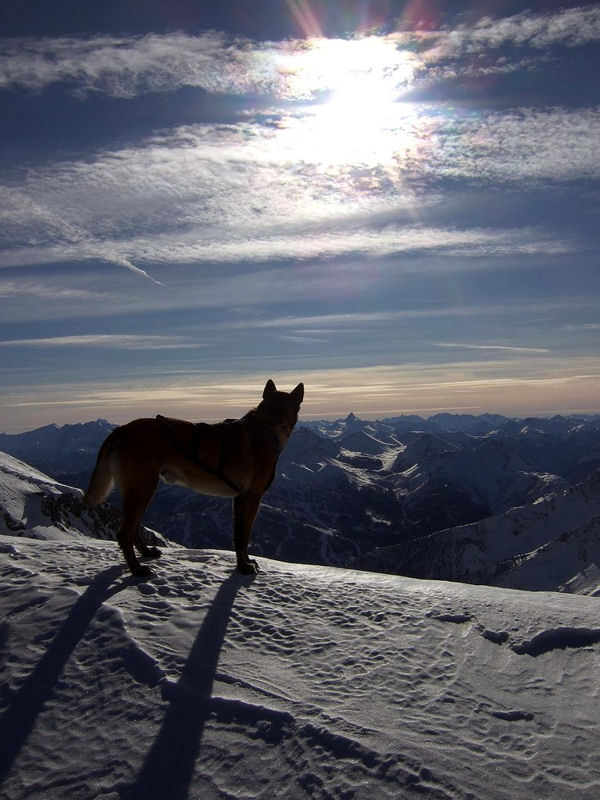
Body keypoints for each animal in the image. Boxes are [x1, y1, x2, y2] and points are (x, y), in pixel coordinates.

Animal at [82, 380, 302, 576]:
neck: (269, 424)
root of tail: (120, 430)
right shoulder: (252, 497)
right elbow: (244, 535)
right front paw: (244, 567)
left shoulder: (239, 498)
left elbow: (238, 535)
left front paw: (244, 562)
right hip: (142, 488)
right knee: (124, 532)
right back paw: (137, 569)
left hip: (139, 490)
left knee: (132, 527)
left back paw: (146, 552)